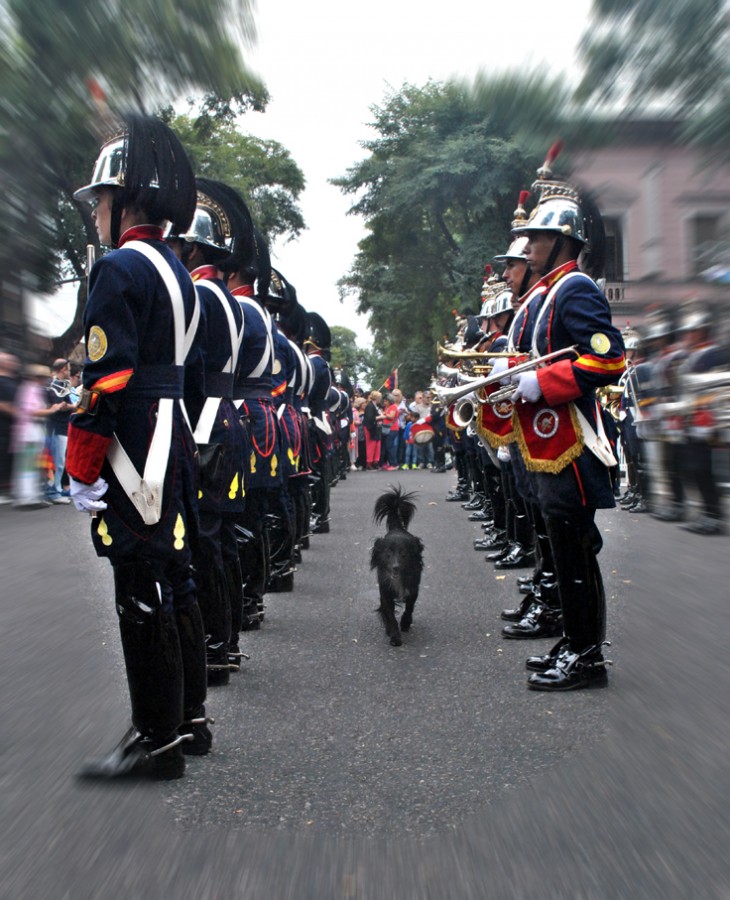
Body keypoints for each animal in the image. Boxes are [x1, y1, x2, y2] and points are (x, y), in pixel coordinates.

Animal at [370, 486, 420, 648]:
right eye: (388, 553)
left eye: (404, 553)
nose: (395, 567)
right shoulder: (385, 592)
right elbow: (390, 614)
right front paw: (395, 637)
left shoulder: (413, 588)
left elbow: (409, 607)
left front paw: (405, 623)